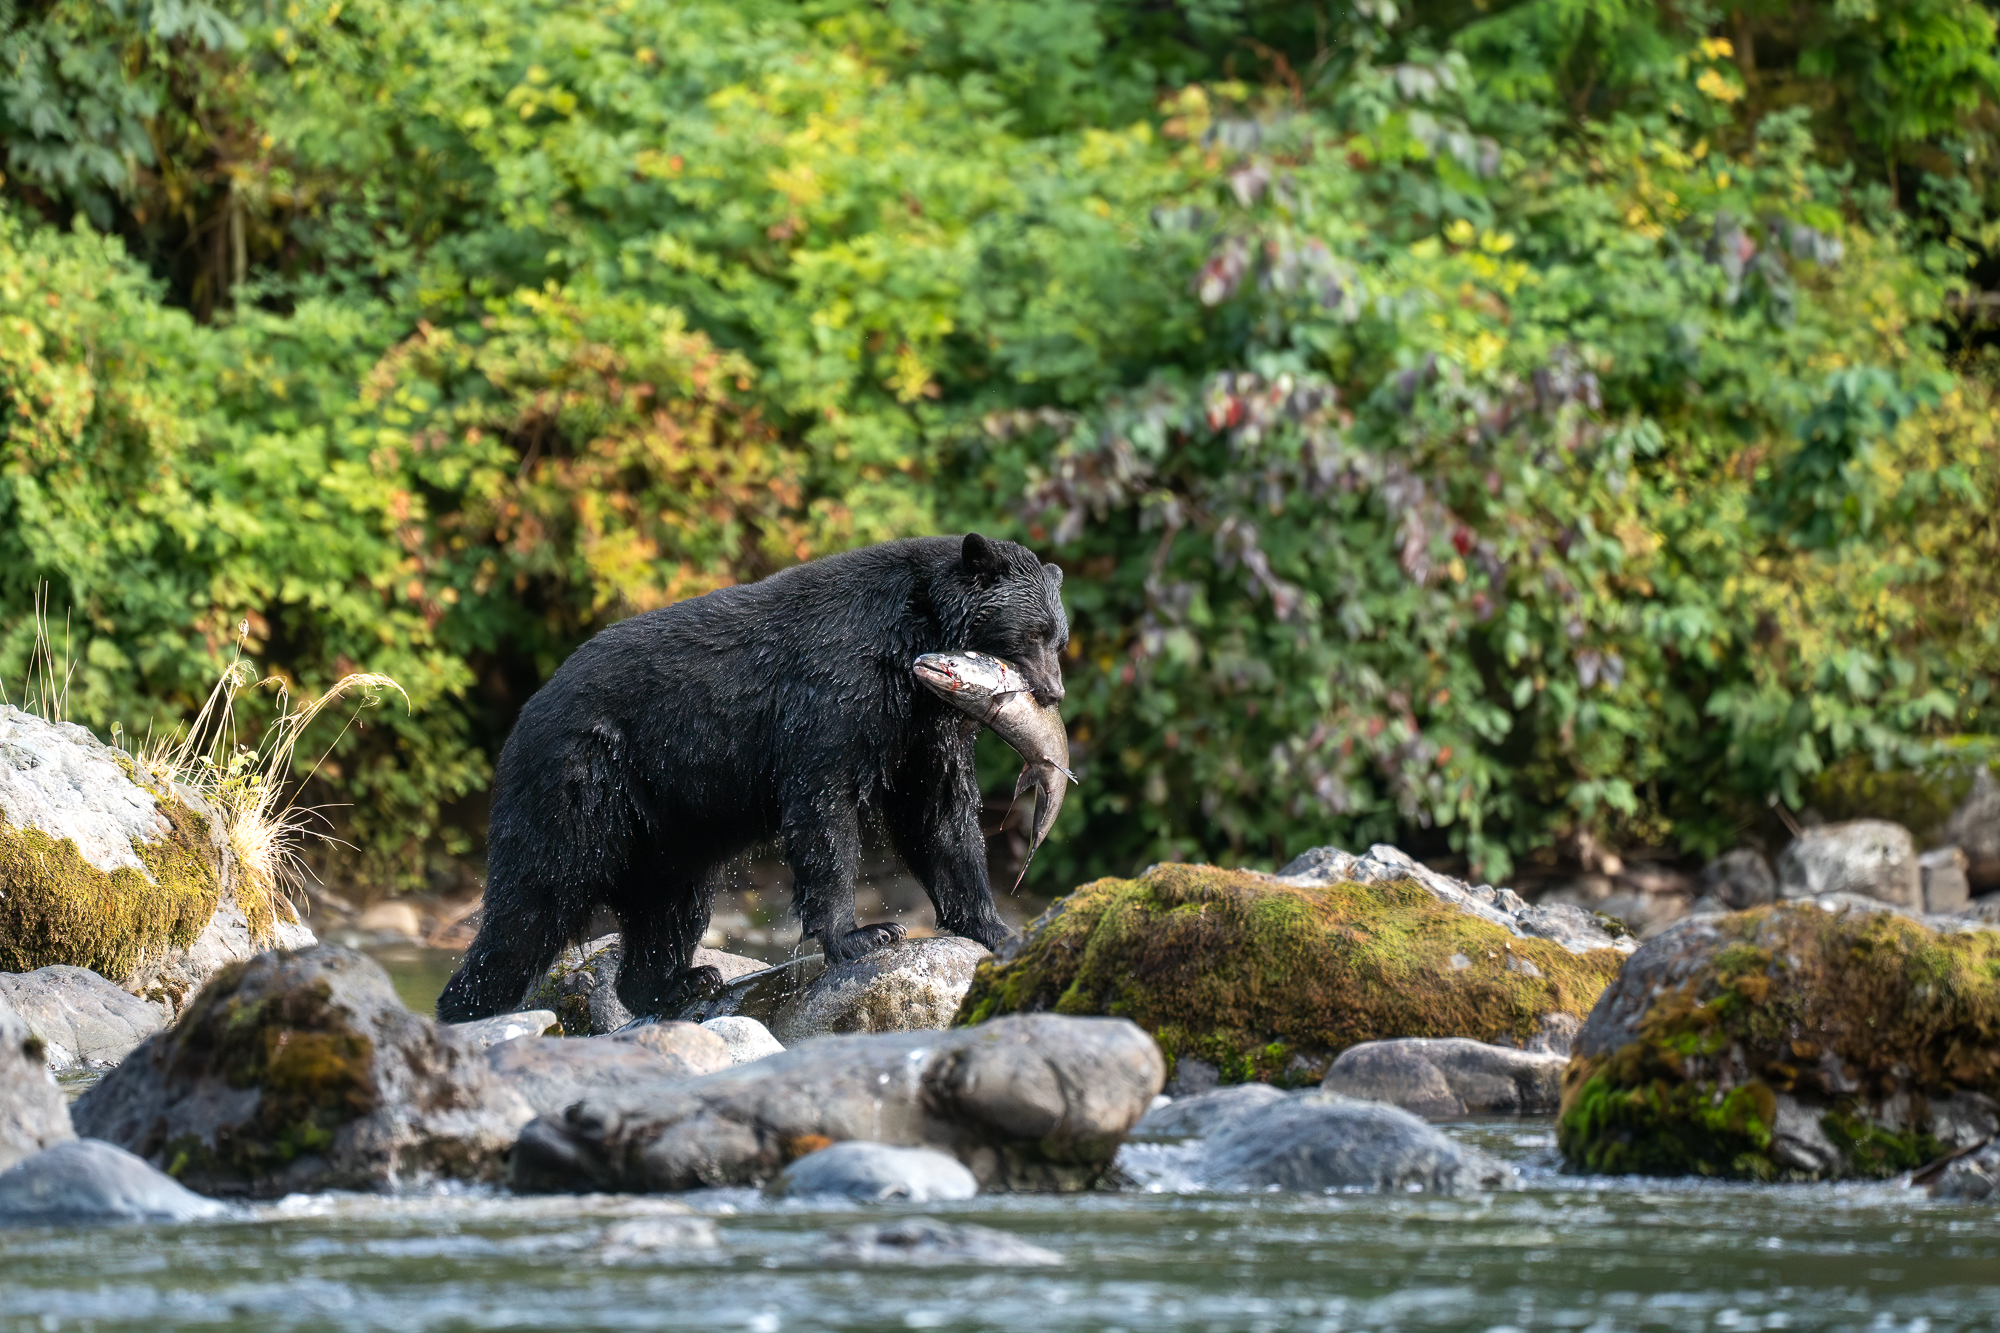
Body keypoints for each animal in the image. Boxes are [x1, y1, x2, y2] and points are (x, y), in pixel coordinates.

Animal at [435, 533, 1068, 1024]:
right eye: (1034, 633)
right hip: (577, 787)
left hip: (667, 832)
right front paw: (864, 935)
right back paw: (466, 1007)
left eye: (1057, 636)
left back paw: (680, 982)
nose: (1053, 692)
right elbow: (824, 806)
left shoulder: (920, 726)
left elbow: (939, 814)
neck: (911, 639)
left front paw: (992, 928)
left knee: (670, 907)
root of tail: (522, 717)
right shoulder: (837, 689)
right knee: (534, 900)